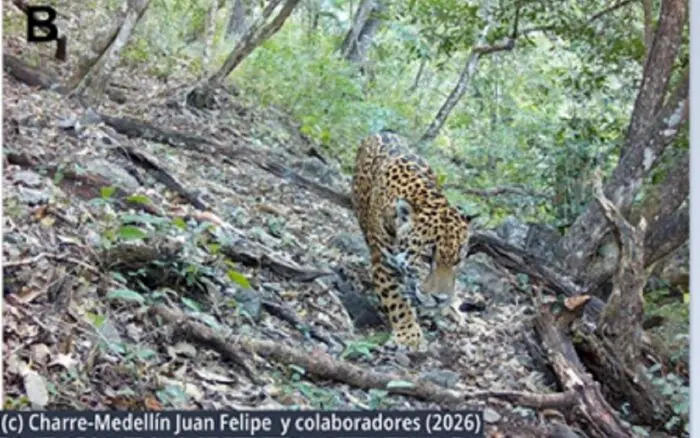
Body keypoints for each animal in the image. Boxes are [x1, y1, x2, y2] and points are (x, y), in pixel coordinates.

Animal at [351, 130, 473, 351]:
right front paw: (410, 336)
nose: (440, 299)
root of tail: (383, 131)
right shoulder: (383, 263)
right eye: (425, 258)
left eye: (457, 261)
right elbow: (396, 300)